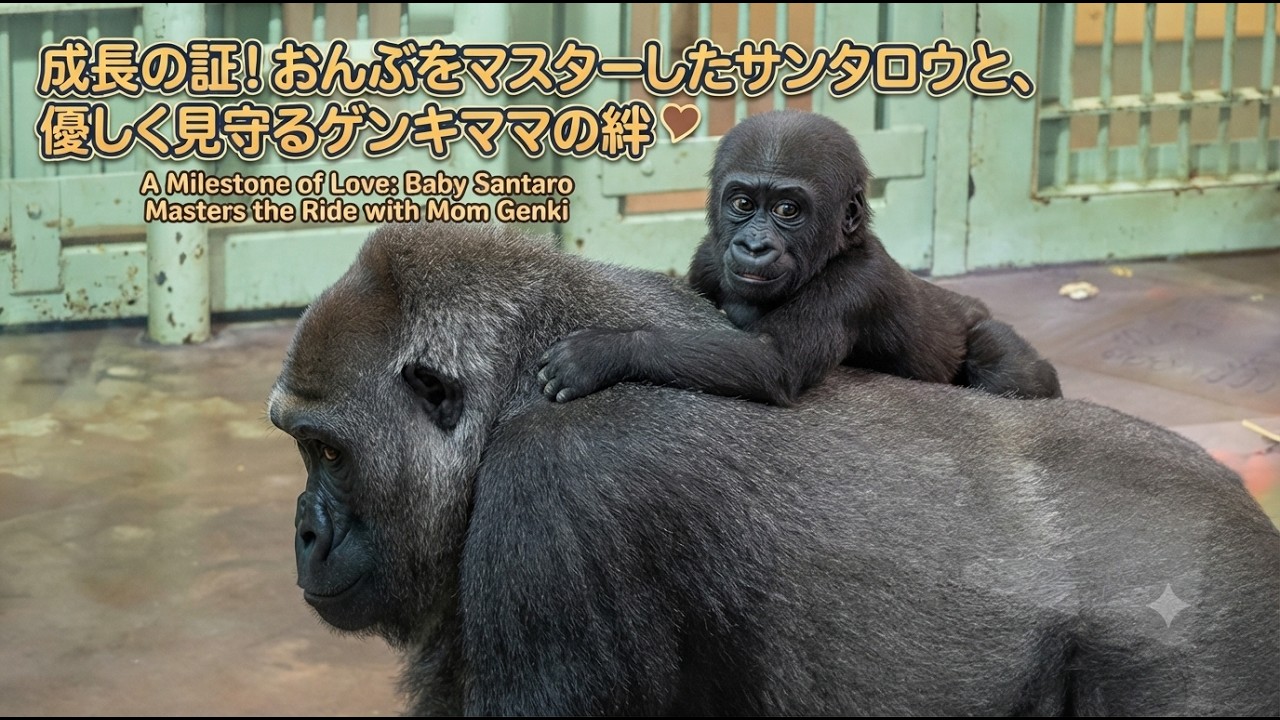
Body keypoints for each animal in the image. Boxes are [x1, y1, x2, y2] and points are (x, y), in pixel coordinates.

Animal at [269, 221, 1280, 715]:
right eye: (301, 446)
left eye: (327, 450)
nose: (305, 533)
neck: (519, 381)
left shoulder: (562, 492)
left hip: (1213, 630)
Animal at [536, 110, 1062, 406]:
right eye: (743, 203)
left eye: (787, 210)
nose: (754, 246)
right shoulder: (706, 260)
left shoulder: (855, 284)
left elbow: (775, 362)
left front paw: (607, 350)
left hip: (985, 329)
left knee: (1011, 370)